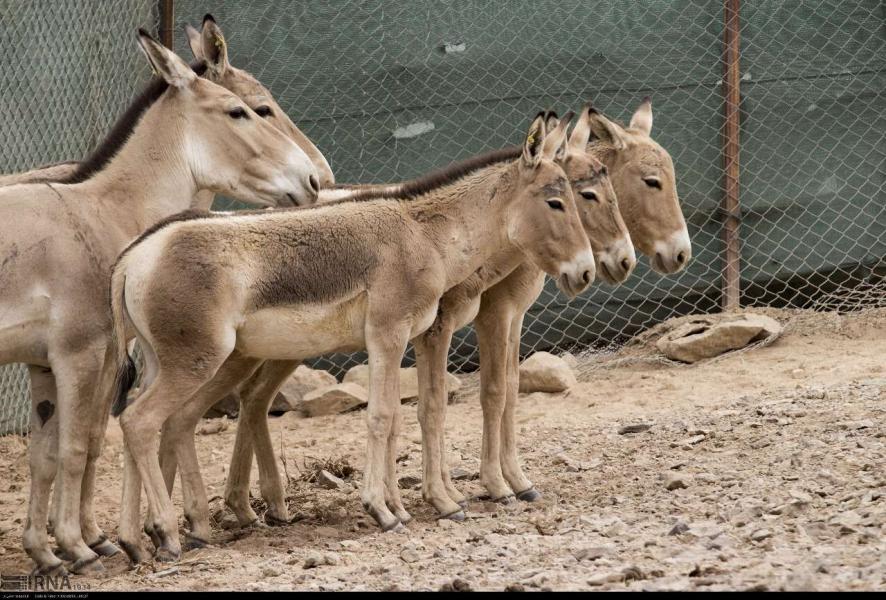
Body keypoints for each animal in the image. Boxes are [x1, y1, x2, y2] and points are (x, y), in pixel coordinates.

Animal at [0, 30, 320, 576]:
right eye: (245, 110)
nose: (315, 181)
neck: (100, 211)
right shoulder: (84, 353)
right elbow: (78, 446)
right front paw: (81, 547)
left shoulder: (44, 362)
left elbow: (46, 454)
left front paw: (46, 552)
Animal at [109, 113, 596, 564]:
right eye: (557, 201)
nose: (587, 273)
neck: (424, 236)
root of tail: (136, 254)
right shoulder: (389, 333)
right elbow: (382, 416)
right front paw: (384, 510)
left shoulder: (408, 337)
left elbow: (400, 417)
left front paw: (405, 507)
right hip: (198, 359)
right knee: (142, 421)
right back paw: (168, 534)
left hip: (167, 361)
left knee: (151, 419)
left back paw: (142, 540)